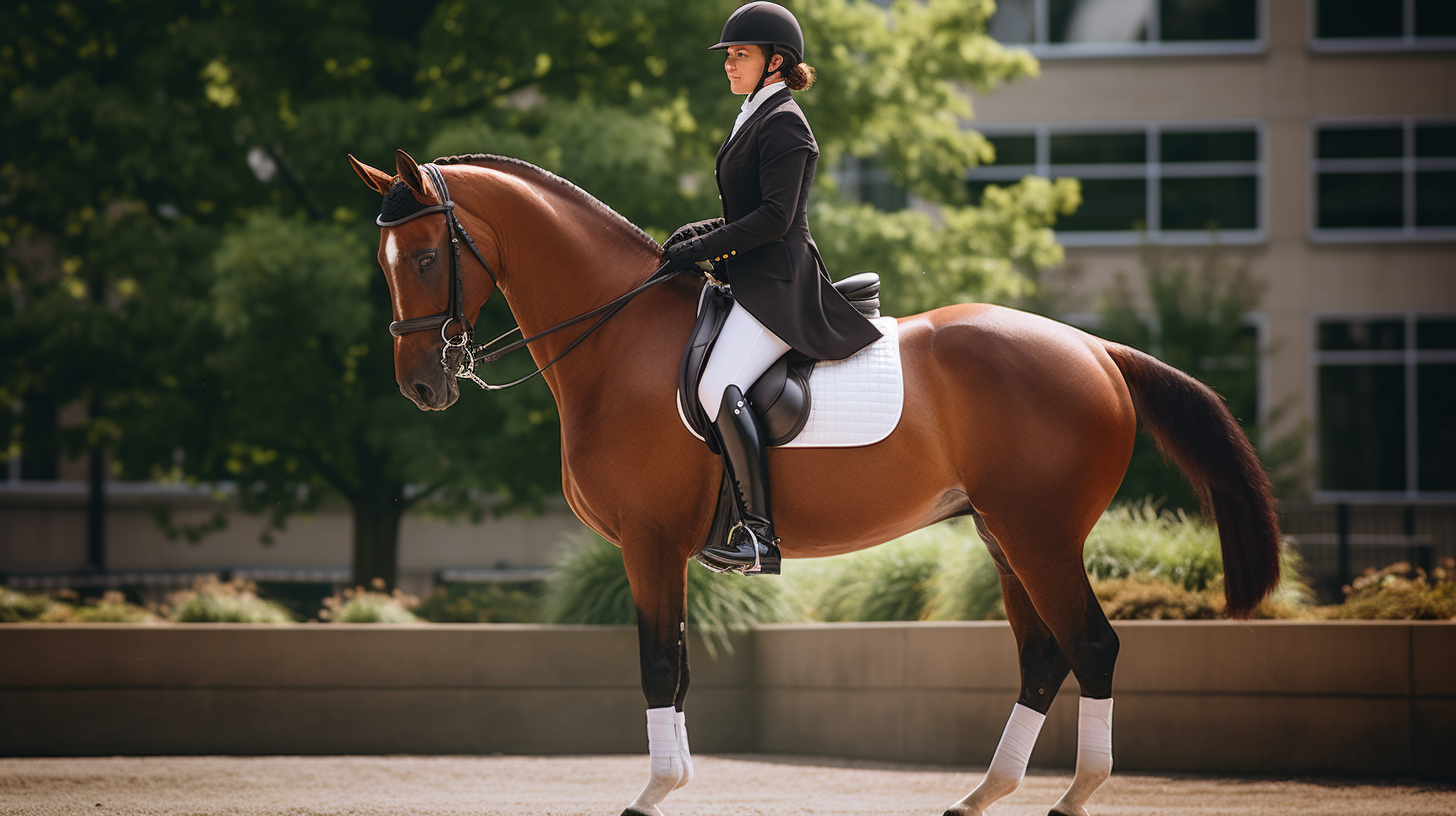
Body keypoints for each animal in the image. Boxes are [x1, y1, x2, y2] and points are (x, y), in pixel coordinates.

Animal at [346, 147, 1281, 816]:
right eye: (385, 261)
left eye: (424, 258)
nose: (422, 385)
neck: (616, 342)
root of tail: (1095, 348)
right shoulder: (667, 551)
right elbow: (679, 670)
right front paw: (675, 786)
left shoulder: (649, 543)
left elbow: (658, 665)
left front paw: (653, 795)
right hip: (1003, 534)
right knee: (1045, 656)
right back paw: (983, 795)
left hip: (1041, 533)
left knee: (1091, 646)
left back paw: (1071, 799)